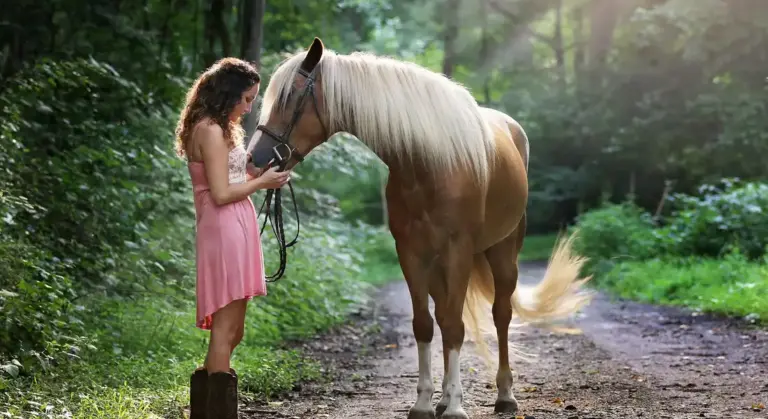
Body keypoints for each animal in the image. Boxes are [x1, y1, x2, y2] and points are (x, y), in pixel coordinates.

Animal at [247, 37, 593, 419]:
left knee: (500, 315)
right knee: (443, 316)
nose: (255, 160)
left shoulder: (458, 251)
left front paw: (456, 406)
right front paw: (426, 402)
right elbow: (425, 325)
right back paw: (443, 399)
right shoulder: (411, 253)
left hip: (502, 253)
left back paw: (504, 396)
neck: (428, 164)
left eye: (290, 97)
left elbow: (456, 326)